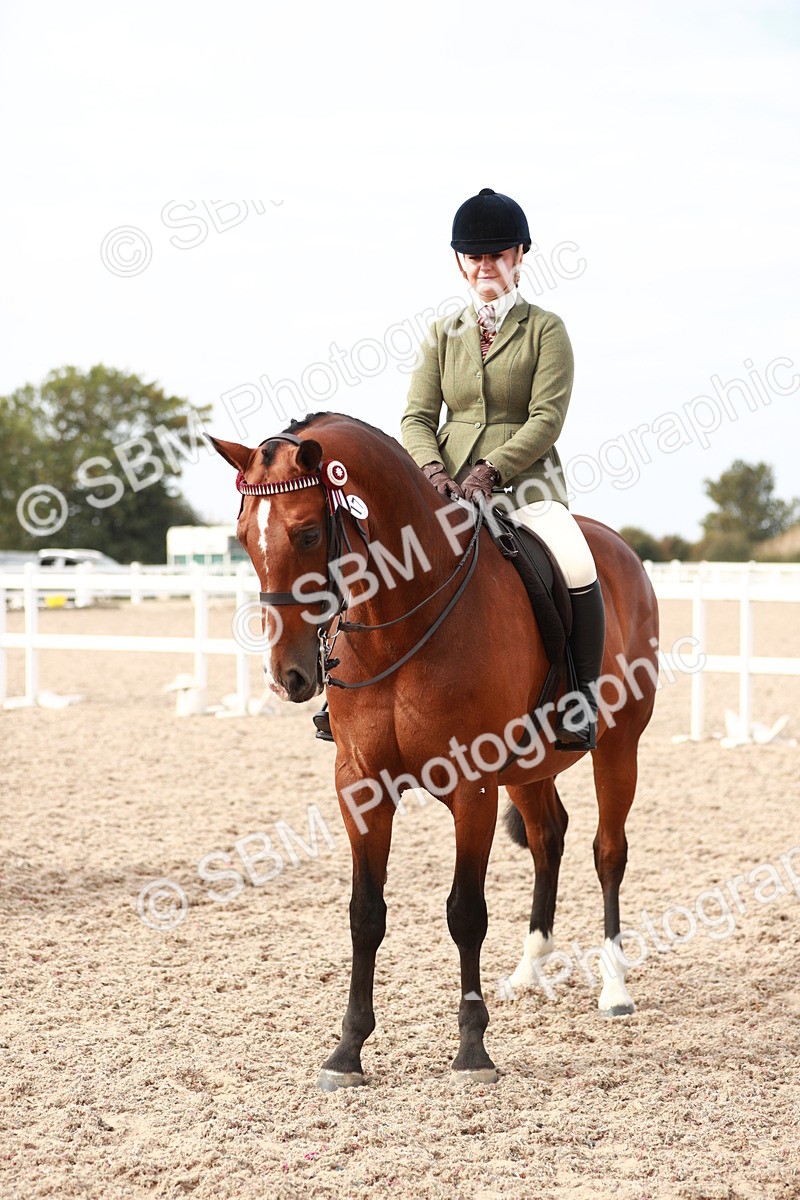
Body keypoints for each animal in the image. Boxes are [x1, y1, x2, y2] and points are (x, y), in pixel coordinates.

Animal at [210, 412, 659, 1090]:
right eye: (243, 539)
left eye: (309, 533)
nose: (289, 677)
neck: (400, 619)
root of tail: (620, 548)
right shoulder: (360, 785)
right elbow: (365, 913)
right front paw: (347, 1051)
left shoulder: (473, 784)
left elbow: (465, 912)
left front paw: (472, 1051)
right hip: (529, 767)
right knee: (548, 838)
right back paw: (529, 969)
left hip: (618, 748)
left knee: (608, 852)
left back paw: (614, 988)